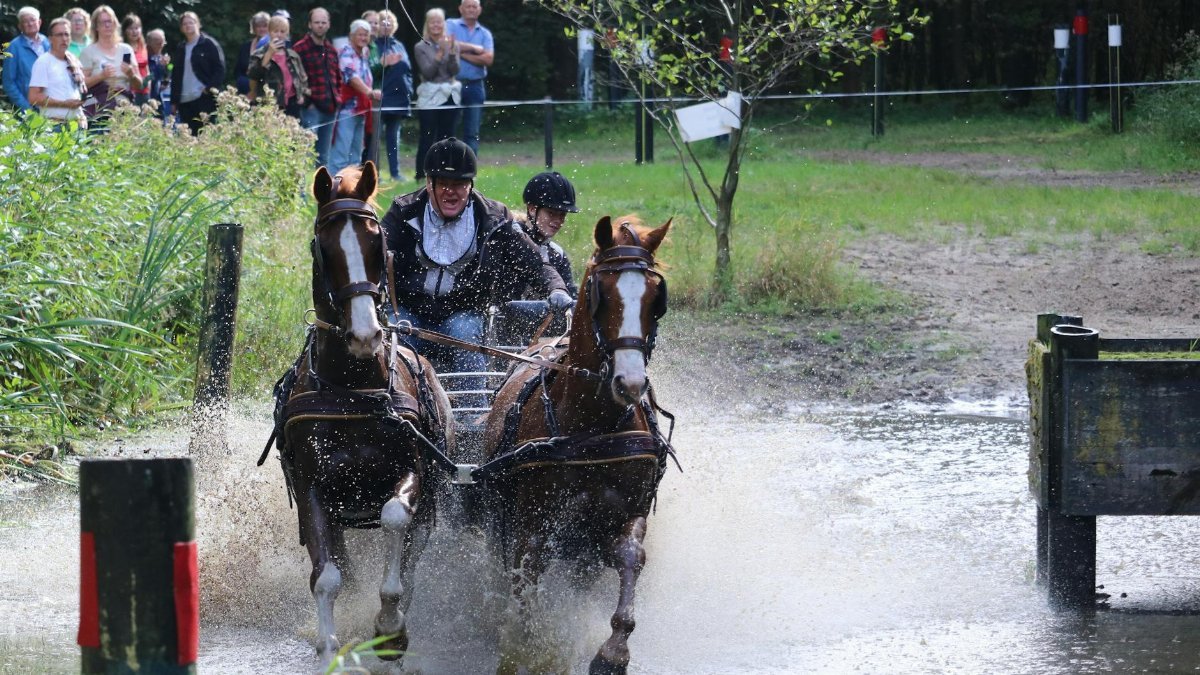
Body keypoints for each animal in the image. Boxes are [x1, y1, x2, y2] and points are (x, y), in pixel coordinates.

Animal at [267, 161, 454, 667]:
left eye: (376, 243)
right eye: (324, 246)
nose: (366, 334)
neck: (352, 389)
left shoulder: (411, 471)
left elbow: (393, 521)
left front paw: (389, 625)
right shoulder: (312, 489)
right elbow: (328, 576)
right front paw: (328, 647)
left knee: (411, 555)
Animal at [478, 214, 674, 675]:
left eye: (656, 299)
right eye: (602, 294)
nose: (630, 383)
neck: (592, 427)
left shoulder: (626, 510)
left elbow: (631, 556)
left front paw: (613, 653)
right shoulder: (533, 519)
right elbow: (527, 573)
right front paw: (523, 650)